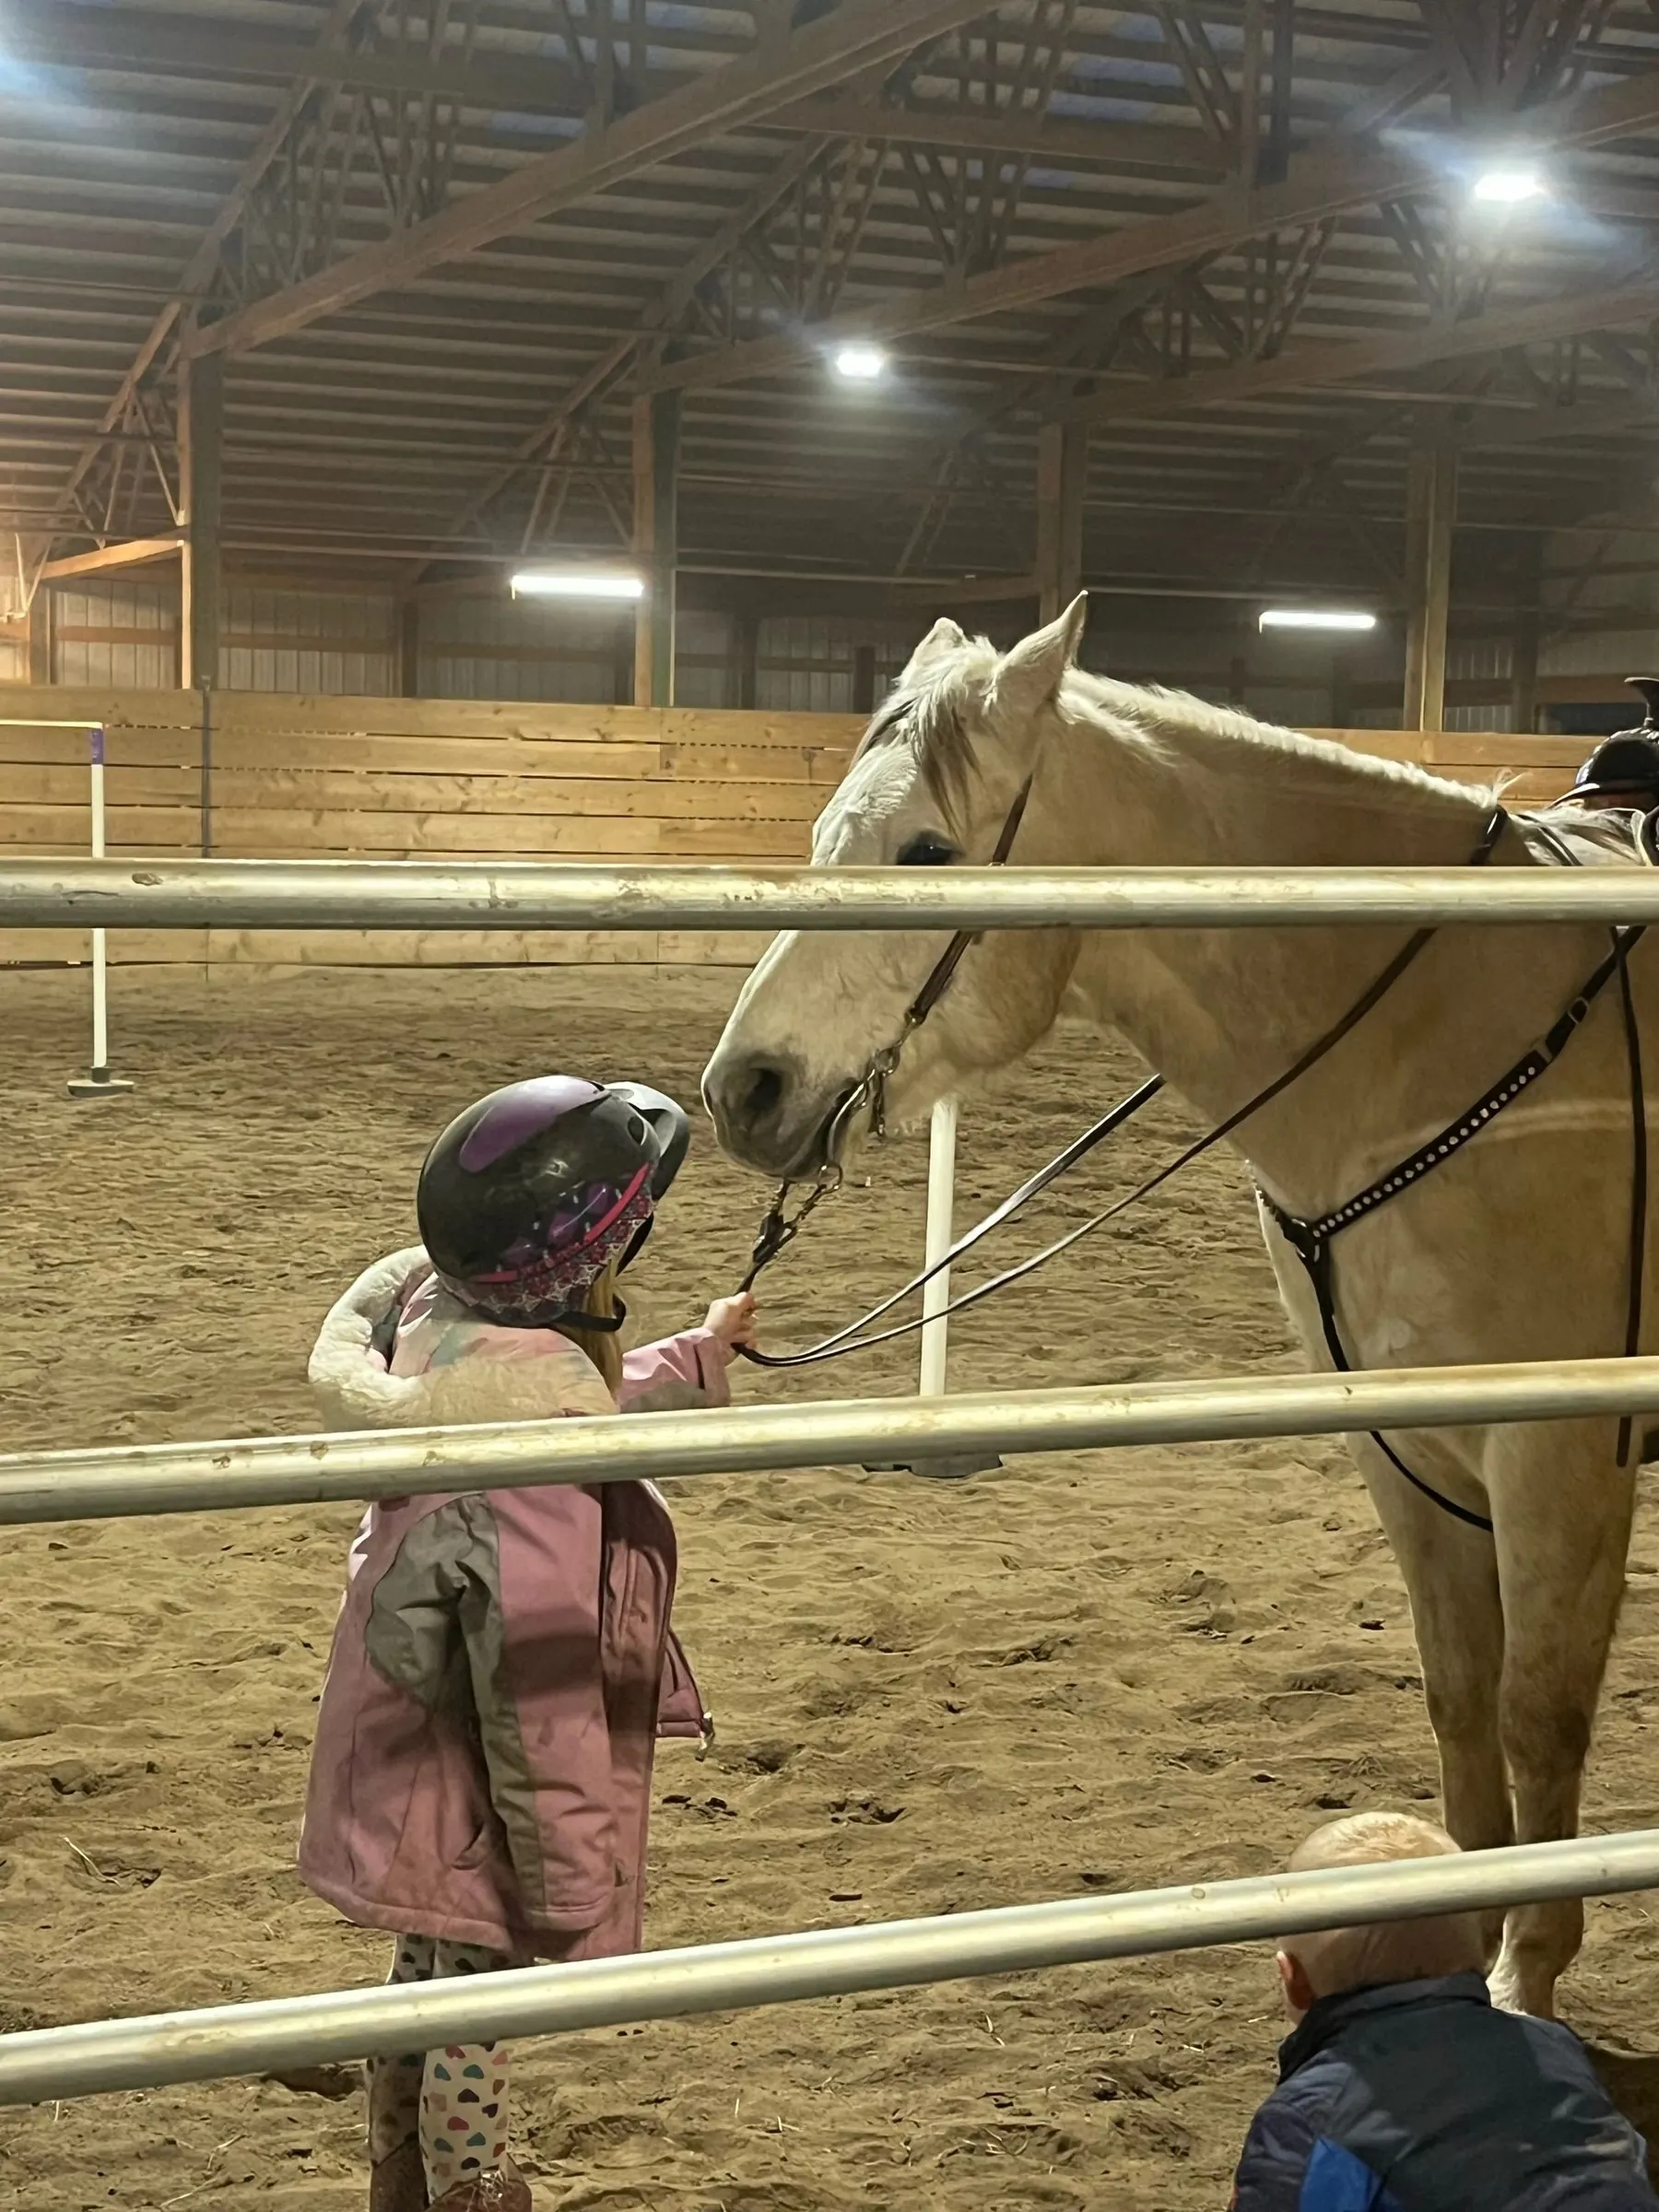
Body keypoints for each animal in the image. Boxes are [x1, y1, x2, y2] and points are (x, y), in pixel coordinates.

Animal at [702, 594, 1659, 2019]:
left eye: (927, 847)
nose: (744, 1091)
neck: (1447, 1031)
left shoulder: (1559, 1461)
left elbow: (1539, 1721)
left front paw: (1521, 1977)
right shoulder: (1406, 1450)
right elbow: (1460, 1703)